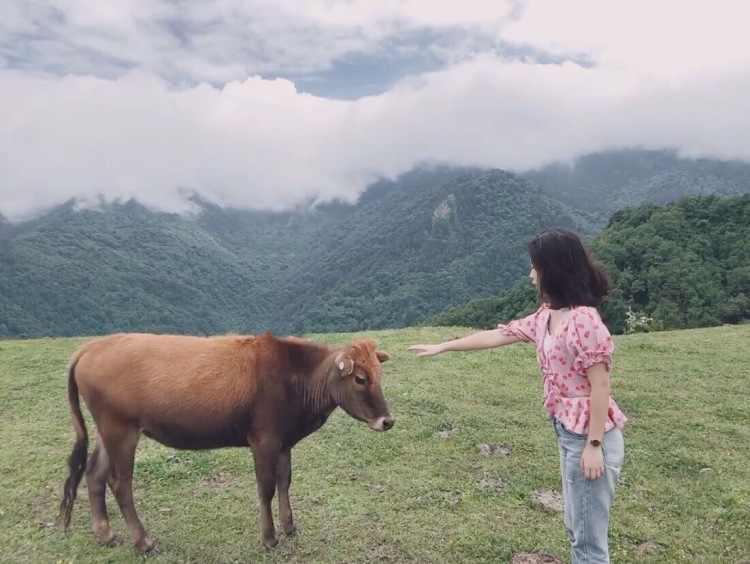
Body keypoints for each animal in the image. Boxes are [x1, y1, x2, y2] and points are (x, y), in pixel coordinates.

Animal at [58, 330, 394, 552]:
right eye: (360, 378)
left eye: (379, 375)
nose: (387, 420)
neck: (295, 378)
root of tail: (90, 348)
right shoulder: (264, 440)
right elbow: (266, 488)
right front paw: (269, 537)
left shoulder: (284, 442)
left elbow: (285, 482)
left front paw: (289, 526)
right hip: (121, 429)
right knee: (120, 484)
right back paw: (143, 541)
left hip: (107, 430)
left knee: (94, 475)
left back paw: (105, 535)